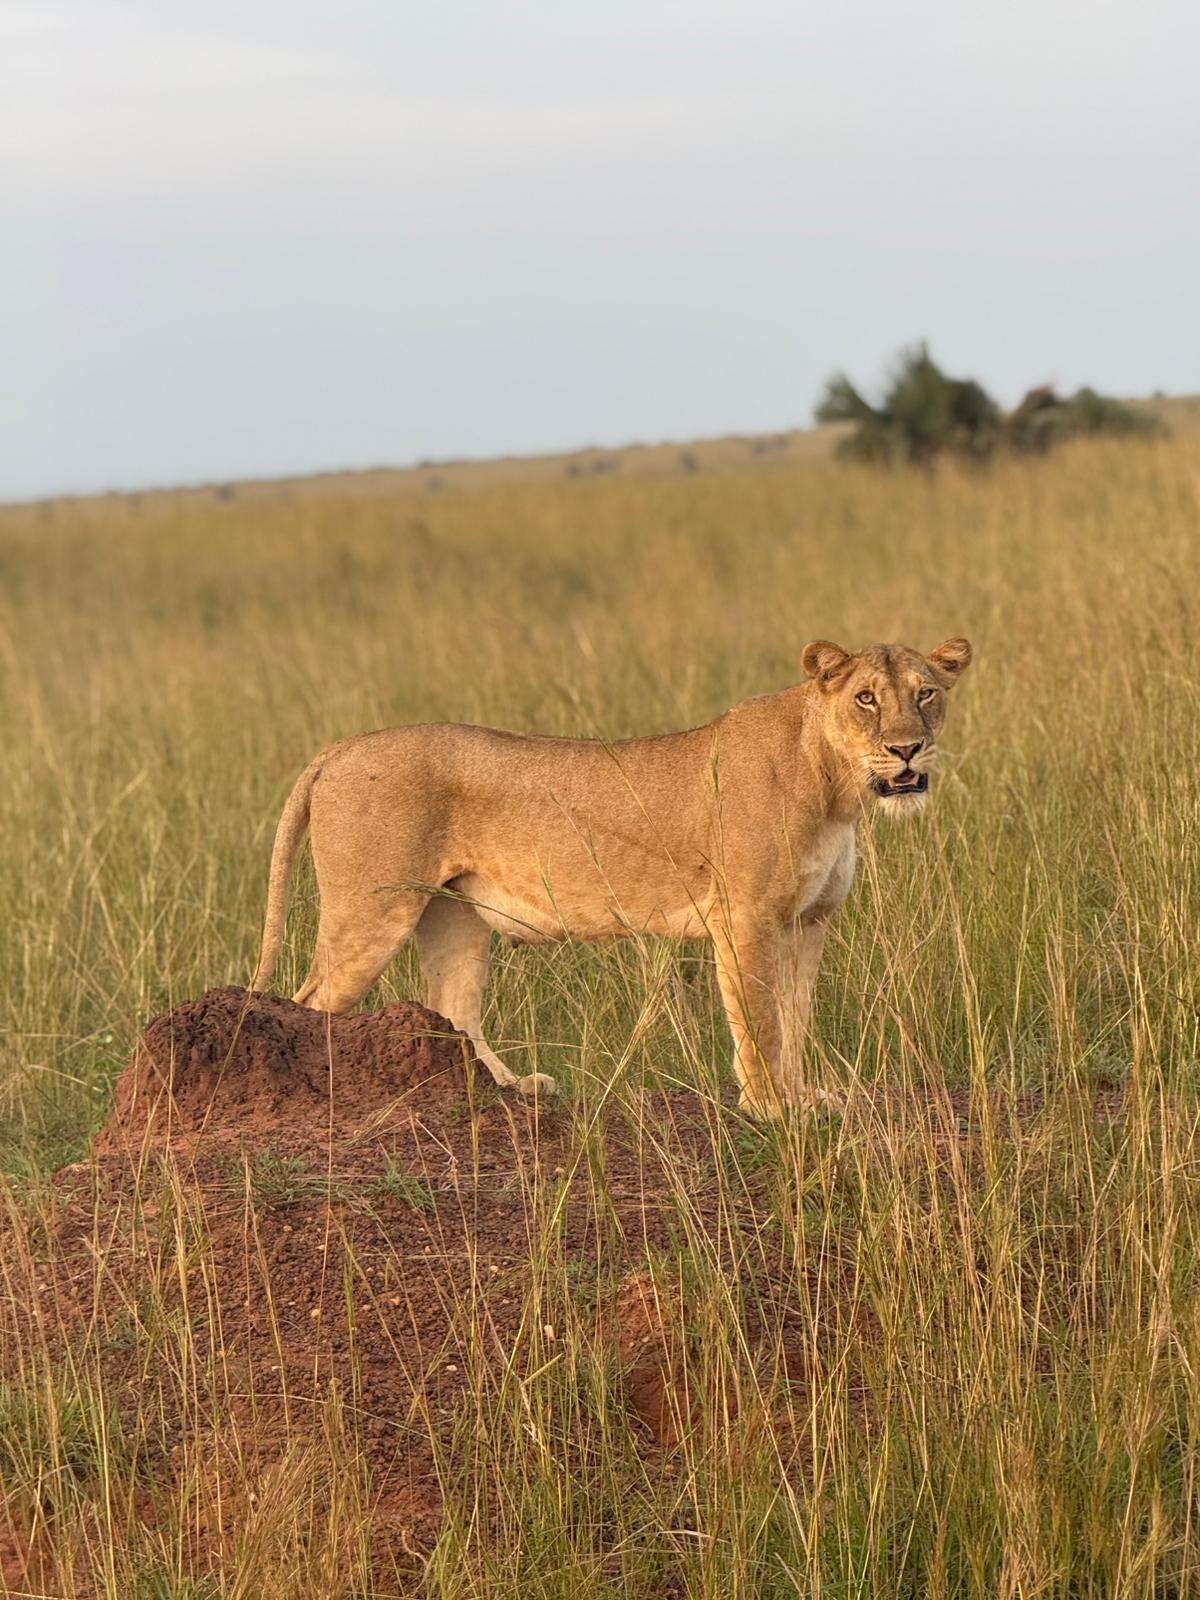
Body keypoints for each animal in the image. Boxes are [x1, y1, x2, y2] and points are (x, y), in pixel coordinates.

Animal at [251, 637, 972, 1114]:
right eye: (866, 699)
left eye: (926, 694)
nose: (908, 749)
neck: (836, 786)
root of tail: (339, 747)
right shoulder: (746, 918)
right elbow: (761, 1020)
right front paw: (768, 1106)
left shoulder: (808, 921)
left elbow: (794, 1016)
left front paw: (799, 1097)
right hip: (369, 914)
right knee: (307, 1003)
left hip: (451, 916)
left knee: (456, 1010)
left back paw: (512, 1089)